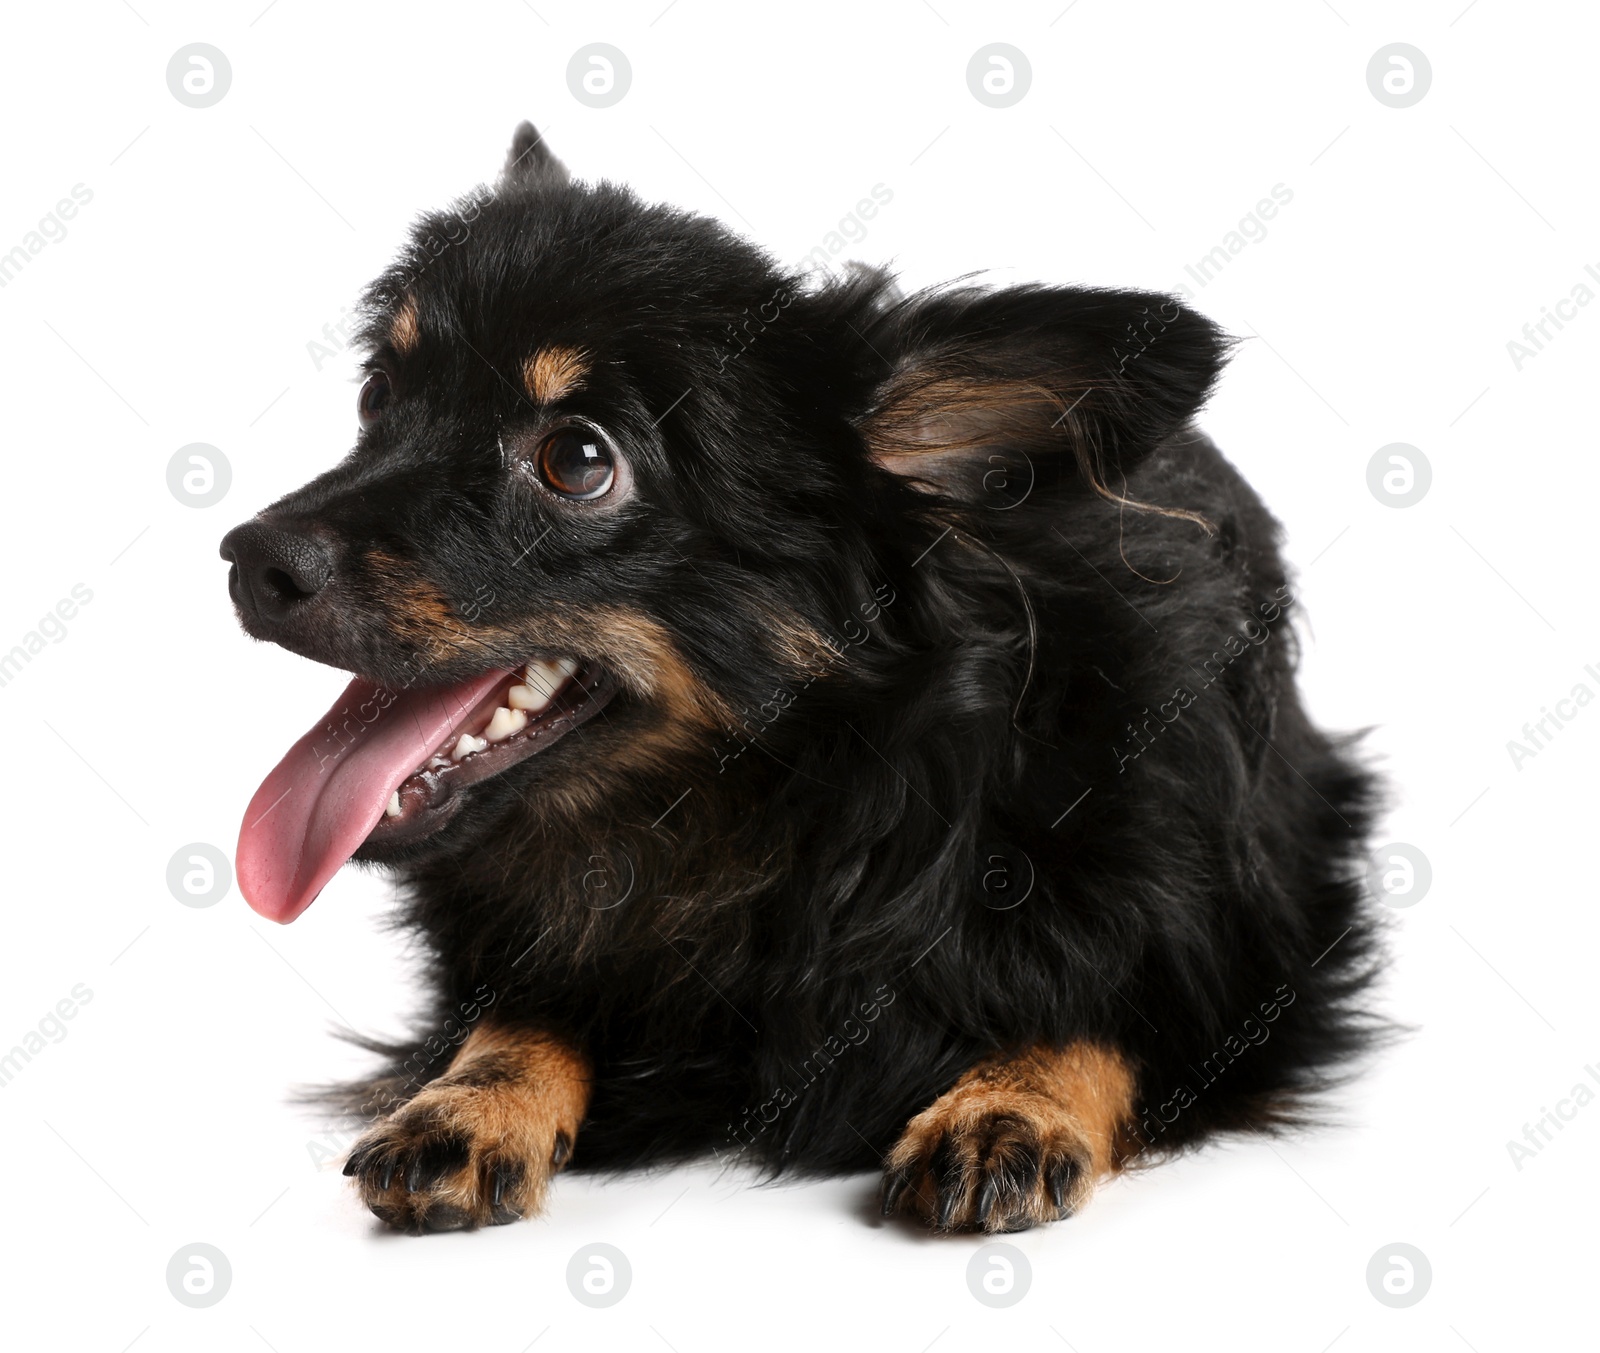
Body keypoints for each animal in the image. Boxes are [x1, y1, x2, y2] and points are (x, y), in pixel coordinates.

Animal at [219, 127, 1382, 1241]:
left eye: (577, 462)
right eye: (378, 397)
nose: (247, 557)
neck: (785, 807)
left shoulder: (1233, 979)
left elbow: (1097, 1017)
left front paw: (1010, 1102)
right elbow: (518, 1019)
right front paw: (467, 1104)